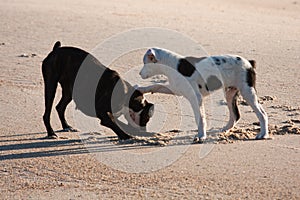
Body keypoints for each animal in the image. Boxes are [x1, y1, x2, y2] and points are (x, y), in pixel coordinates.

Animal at [139, 47, 270, 143]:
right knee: (236, 115)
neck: (173, 65)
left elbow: (200, 118)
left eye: (145, 63)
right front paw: (140, 88)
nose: (139, 74)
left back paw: (263, 134)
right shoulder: (175, 89)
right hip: (230, 93)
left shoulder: (196, 98)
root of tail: (249, 63)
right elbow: (156, 86)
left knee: (262, 114)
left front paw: (201, 136)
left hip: (248, 92)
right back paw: (225, 129)